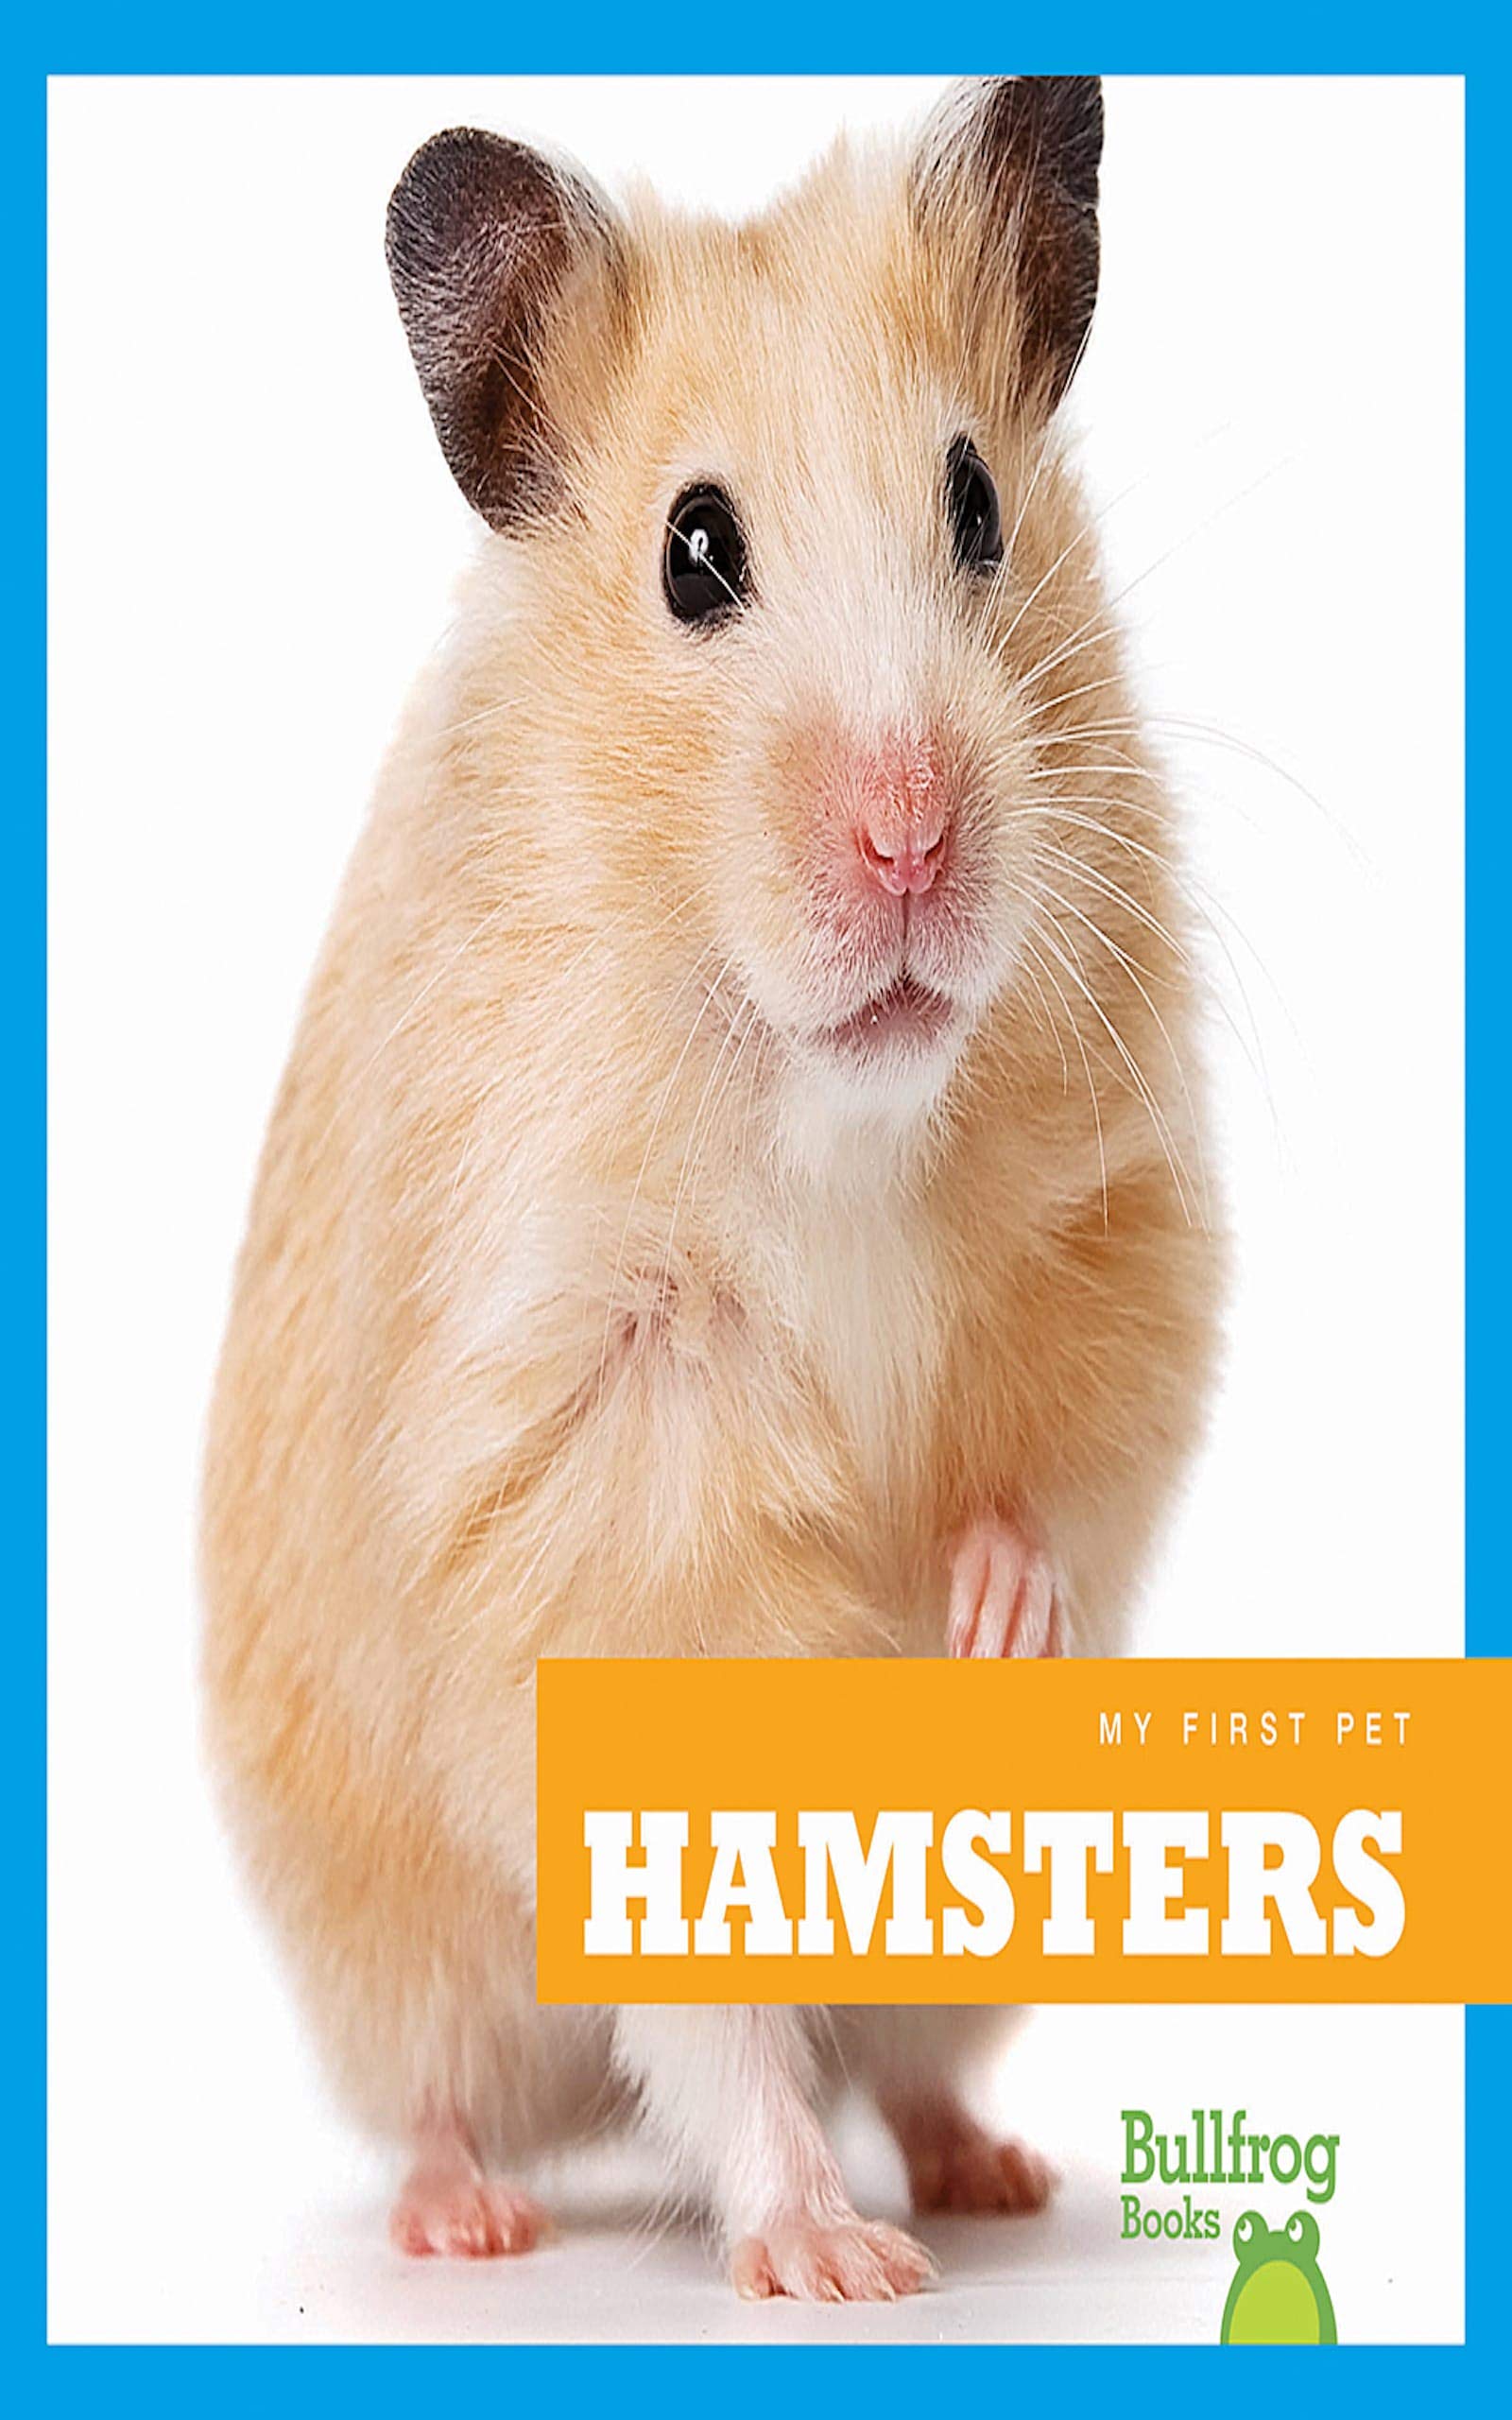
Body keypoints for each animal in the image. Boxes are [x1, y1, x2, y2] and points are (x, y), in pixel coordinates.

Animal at [201, 75, 1223, 2303]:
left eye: (976, 504)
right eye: (692, 552)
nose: (914, 842)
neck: (828, 1108)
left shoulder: (1120, 1235)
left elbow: (1056, 1466)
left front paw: (985, 1622)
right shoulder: (599, 1427)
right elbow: (719, 1953)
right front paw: (830, 2276)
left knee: (897, 2061)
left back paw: (984, 2176)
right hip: (395, 1952)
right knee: (488, 2081)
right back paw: (522, 2224)